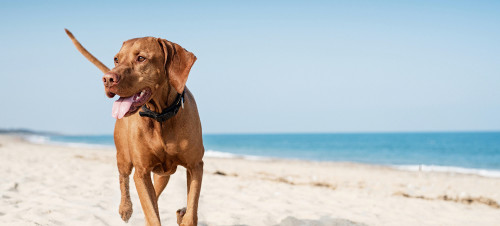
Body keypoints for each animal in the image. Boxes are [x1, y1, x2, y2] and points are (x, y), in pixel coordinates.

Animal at [66, 30, 203, 226]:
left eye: (141, 58)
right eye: (116, 59)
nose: (107, 79)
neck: (160, 117)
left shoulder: (195, 166)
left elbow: (191, 211)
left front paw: (185, 216)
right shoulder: (141, 173)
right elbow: (152, 215)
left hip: (163, 174)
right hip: (123, 155)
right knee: (124, 178)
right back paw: (125, 208)